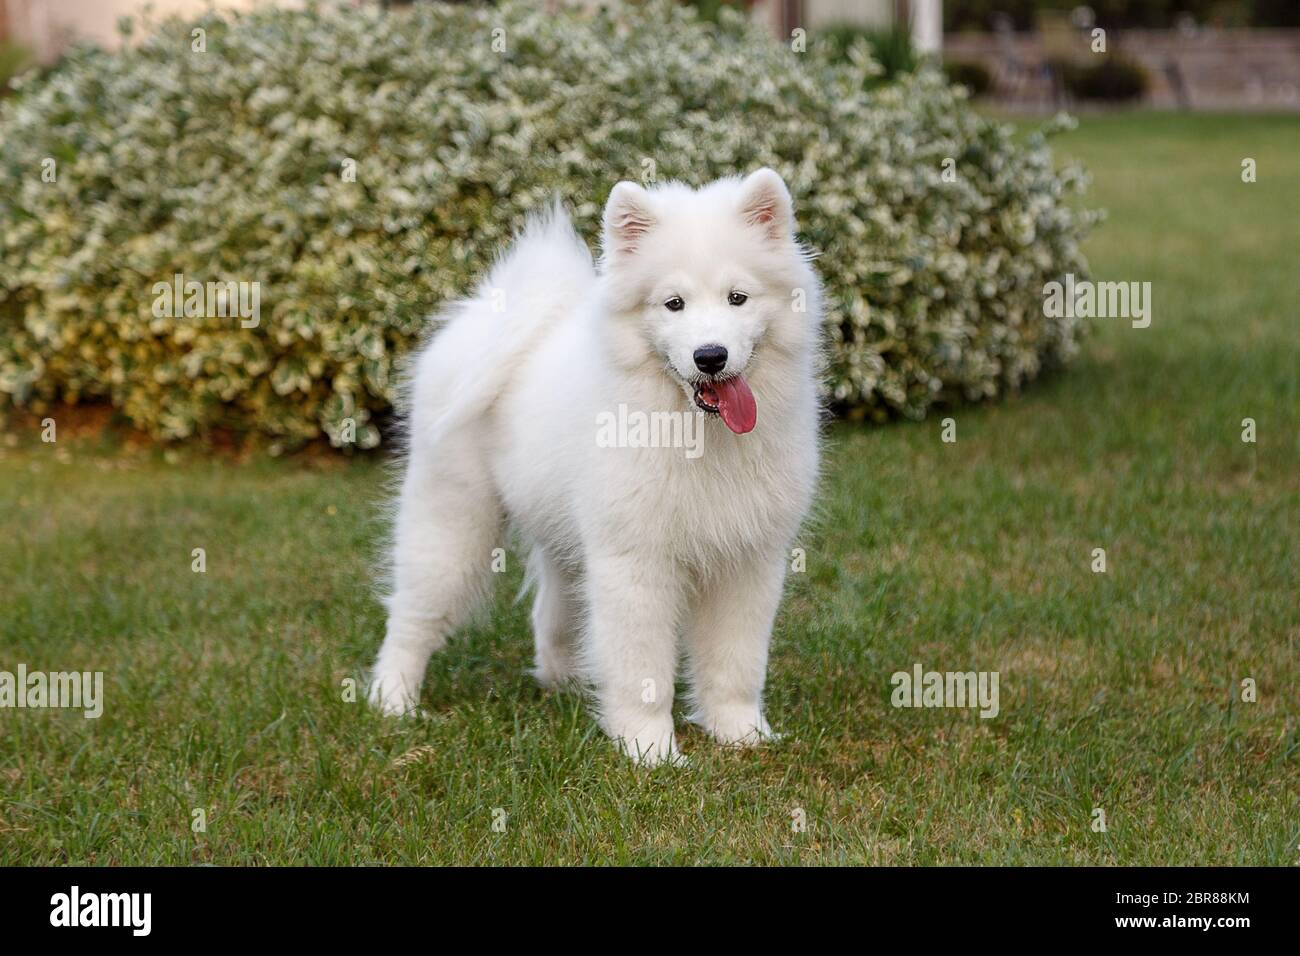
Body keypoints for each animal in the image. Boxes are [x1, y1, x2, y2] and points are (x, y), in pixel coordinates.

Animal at [366, 164, 821, 764]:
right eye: (673, 304)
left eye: (737, 298)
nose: (710, 356)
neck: (698, 435)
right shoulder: (635, 561)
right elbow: (644, 670)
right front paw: (651, 753)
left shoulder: (748, 560)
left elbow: (736, 665)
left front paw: (741, 736)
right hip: (451, 524)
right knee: (412, 617)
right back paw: (393, 703)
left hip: (563, 535)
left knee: (551, 614)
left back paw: (567, 684)